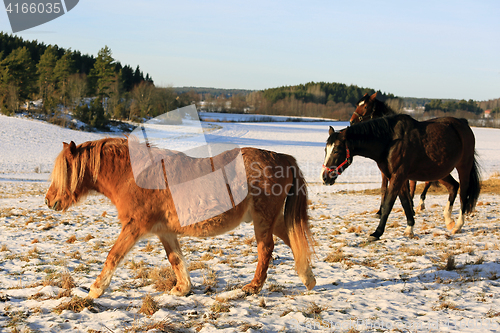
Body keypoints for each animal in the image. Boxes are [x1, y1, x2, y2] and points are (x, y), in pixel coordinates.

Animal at [45, 136, 314, 296]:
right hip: (273, 220)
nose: (49, 200)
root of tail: (284, 159)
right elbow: (175, 259)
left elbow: (113, 256)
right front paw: (183, 288)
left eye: (64, 171)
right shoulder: (164, 231)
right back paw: (308, 278)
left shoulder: (134, 227)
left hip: (263, 220)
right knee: (292, 239)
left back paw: (254, 286)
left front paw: (95, 290)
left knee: (266, 249)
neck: (132, 175)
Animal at [320, 113, 480, 240]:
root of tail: (463, 124)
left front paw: (377, 233)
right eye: (325, 150)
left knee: (463, 193)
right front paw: (409, 229)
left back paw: (458, 225)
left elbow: (388, 204)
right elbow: (405, 202)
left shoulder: (398, 176)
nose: (325, 177)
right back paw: (448, 220)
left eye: (337, 150)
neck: (390, 141)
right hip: (439, 171)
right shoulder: (398, 177)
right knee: (453, 186)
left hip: (463, 167)